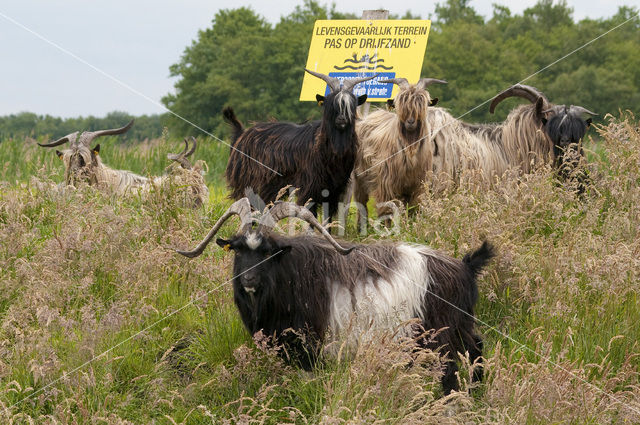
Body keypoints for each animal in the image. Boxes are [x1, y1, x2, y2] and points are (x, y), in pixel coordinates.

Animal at [175, 198, 496, 394]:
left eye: (267, 251)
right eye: (239, 250)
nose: (249, 281)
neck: (290, 273)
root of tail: (465, 267)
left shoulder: (310, 347)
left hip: (441, 337)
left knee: (454, 368)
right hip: (459, 329)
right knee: (476, 350)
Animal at [224, 68, 378, 222]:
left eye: (351, 104)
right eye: (330, 103)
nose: (341, 119)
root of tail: (242, 134)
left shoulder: (334, 191)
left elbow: (327, 220)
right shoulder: (309, 189)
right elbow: (310, 217)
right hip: (250, 187)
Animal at [350, 76, 444, 229]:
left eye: (421, 103)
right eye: (400, 103)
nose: (410, 122)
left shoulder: (417, 186)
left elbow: (412, 209)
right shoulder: (387, 183)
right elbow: (388, 208)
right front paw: (388, 228)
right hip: (359, 177)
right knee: (361, 201)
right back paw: (361, 227)